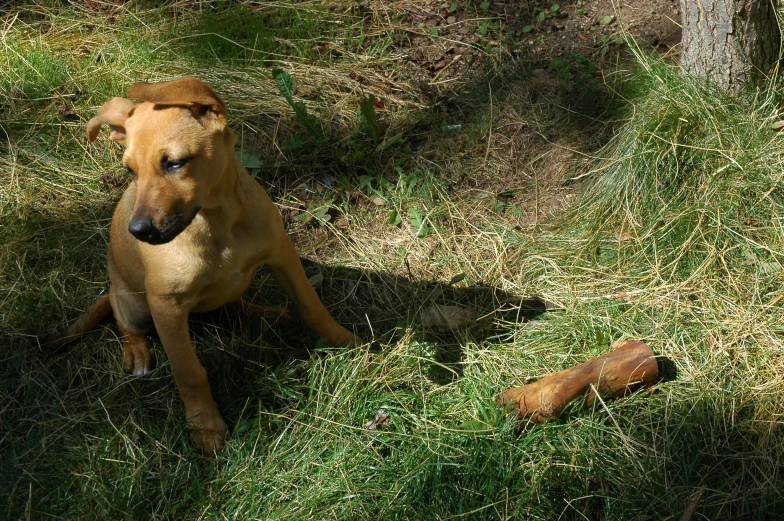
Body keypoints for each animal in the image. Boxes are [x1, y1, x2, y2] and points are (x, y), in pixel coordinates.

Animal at [44, 77, 360, 450]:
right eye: (129, 170)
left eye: (175, 163)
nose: (138, 231)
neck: (217, 222)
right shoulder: (165, 307)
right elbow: (189, 372)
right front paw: (205, 425)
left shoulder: (282, 254)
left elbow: (312, 306)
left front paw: (346, 341)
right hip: (132, 303)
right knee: (125, 324)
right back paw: (137, 351)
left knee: (236, 305)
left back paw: (269, 313)